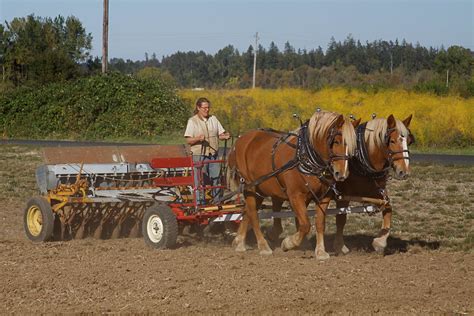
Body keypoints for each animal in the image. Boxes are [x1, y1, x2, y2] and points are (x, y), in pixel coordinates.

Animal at [228, 110, 358, 260]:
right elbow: (305, 224)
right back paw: (263, 246)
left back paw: (239, 242)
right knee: (254, 215)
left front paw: (320, 251)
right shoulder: (295, 196)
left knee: (247, 211)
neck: (305, 157)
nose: (342, 173)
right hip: (250, 186)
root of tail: (240, 141)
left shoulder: (324, 197)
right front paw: (288, 243)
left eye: (353, 146)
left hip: (259, 190)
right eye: (336, 141)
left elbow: (319, 223)